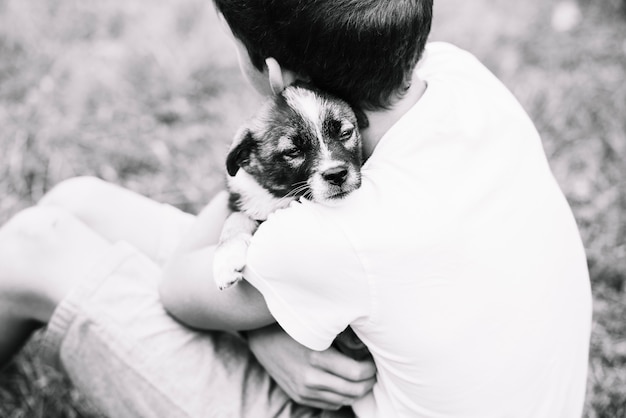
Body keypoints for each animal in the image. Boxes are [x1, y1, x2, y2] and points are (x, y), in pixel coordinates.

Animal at [213, 81, 360, 290]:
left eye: (345, 133)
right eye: (293, 151)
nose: (336, 174)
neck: (280, 195)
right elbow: (235, 218)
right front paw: (226, 258)